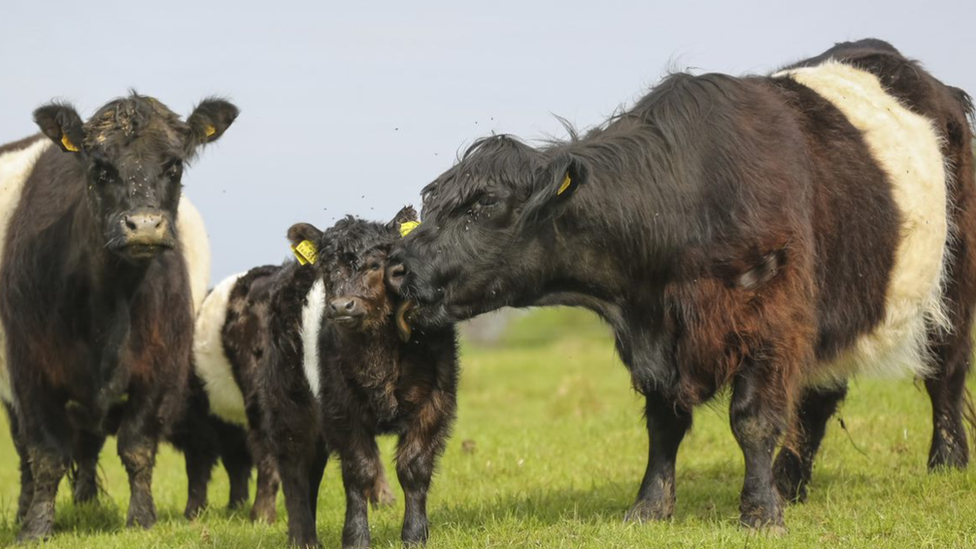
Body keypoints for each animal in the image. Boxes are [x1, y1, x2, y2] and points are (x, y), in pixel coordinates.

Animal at [0, 92, 238, 536]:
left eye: (174, 165)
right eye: (100, 168)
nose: (144, 225)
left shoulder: (160, 370)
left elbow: (137, 446)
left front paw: (141, 518)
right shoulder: (31, 372)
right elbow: (46, 454)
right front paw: (35, 527)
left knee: (88, 443)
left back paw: (86, 503)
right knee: (27, 452)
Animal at [260, 208, 458, 544]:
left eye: (376, 265)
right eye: (327, 268)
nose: (342, 306)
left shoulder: (435, 401)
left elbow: (414, 466)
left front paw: (415, 534)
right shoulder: (341, 407)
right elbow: (360, 471)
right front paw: (355, 537)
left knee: (312, 470)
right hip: (290, 405)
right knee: (294, 469)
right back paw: (303, 538)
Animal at [388, 39, 976, 532]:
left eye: (482, 206)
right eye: (431, 207)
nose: (399, 266)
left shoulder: (773, 317)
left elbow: (753, 420)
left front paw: (760, 514)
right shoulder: (658, 338)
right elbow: (664, 424)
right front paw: (650, 507)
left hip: (951, 279)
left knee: (944, 371)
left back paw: (946, 462)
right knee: (819, 396)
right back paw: (790, 482)